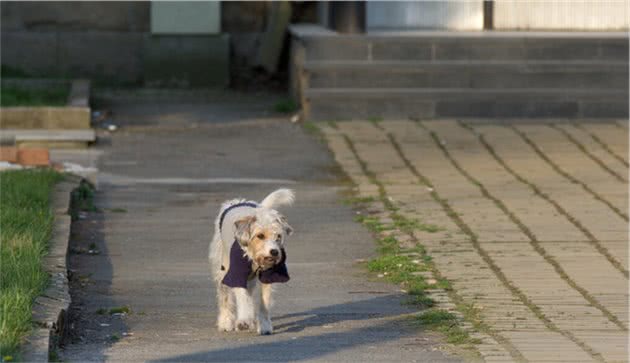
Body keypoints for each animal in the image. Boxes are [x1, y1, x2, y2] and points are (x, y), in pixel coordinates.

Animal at [209, 191, 296, 336]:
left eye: (278, 236)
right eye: (260, 236)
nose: (274, 252)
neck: (254, 257)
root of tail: (239, 202)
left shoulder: (269, 276)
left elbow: (264, 301)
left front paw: (264, 325)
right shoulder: (236, 273)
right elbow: (242, 297)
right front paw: (244, 321)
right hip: (222, 267)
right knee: (225, 295)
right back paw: (226, 322)